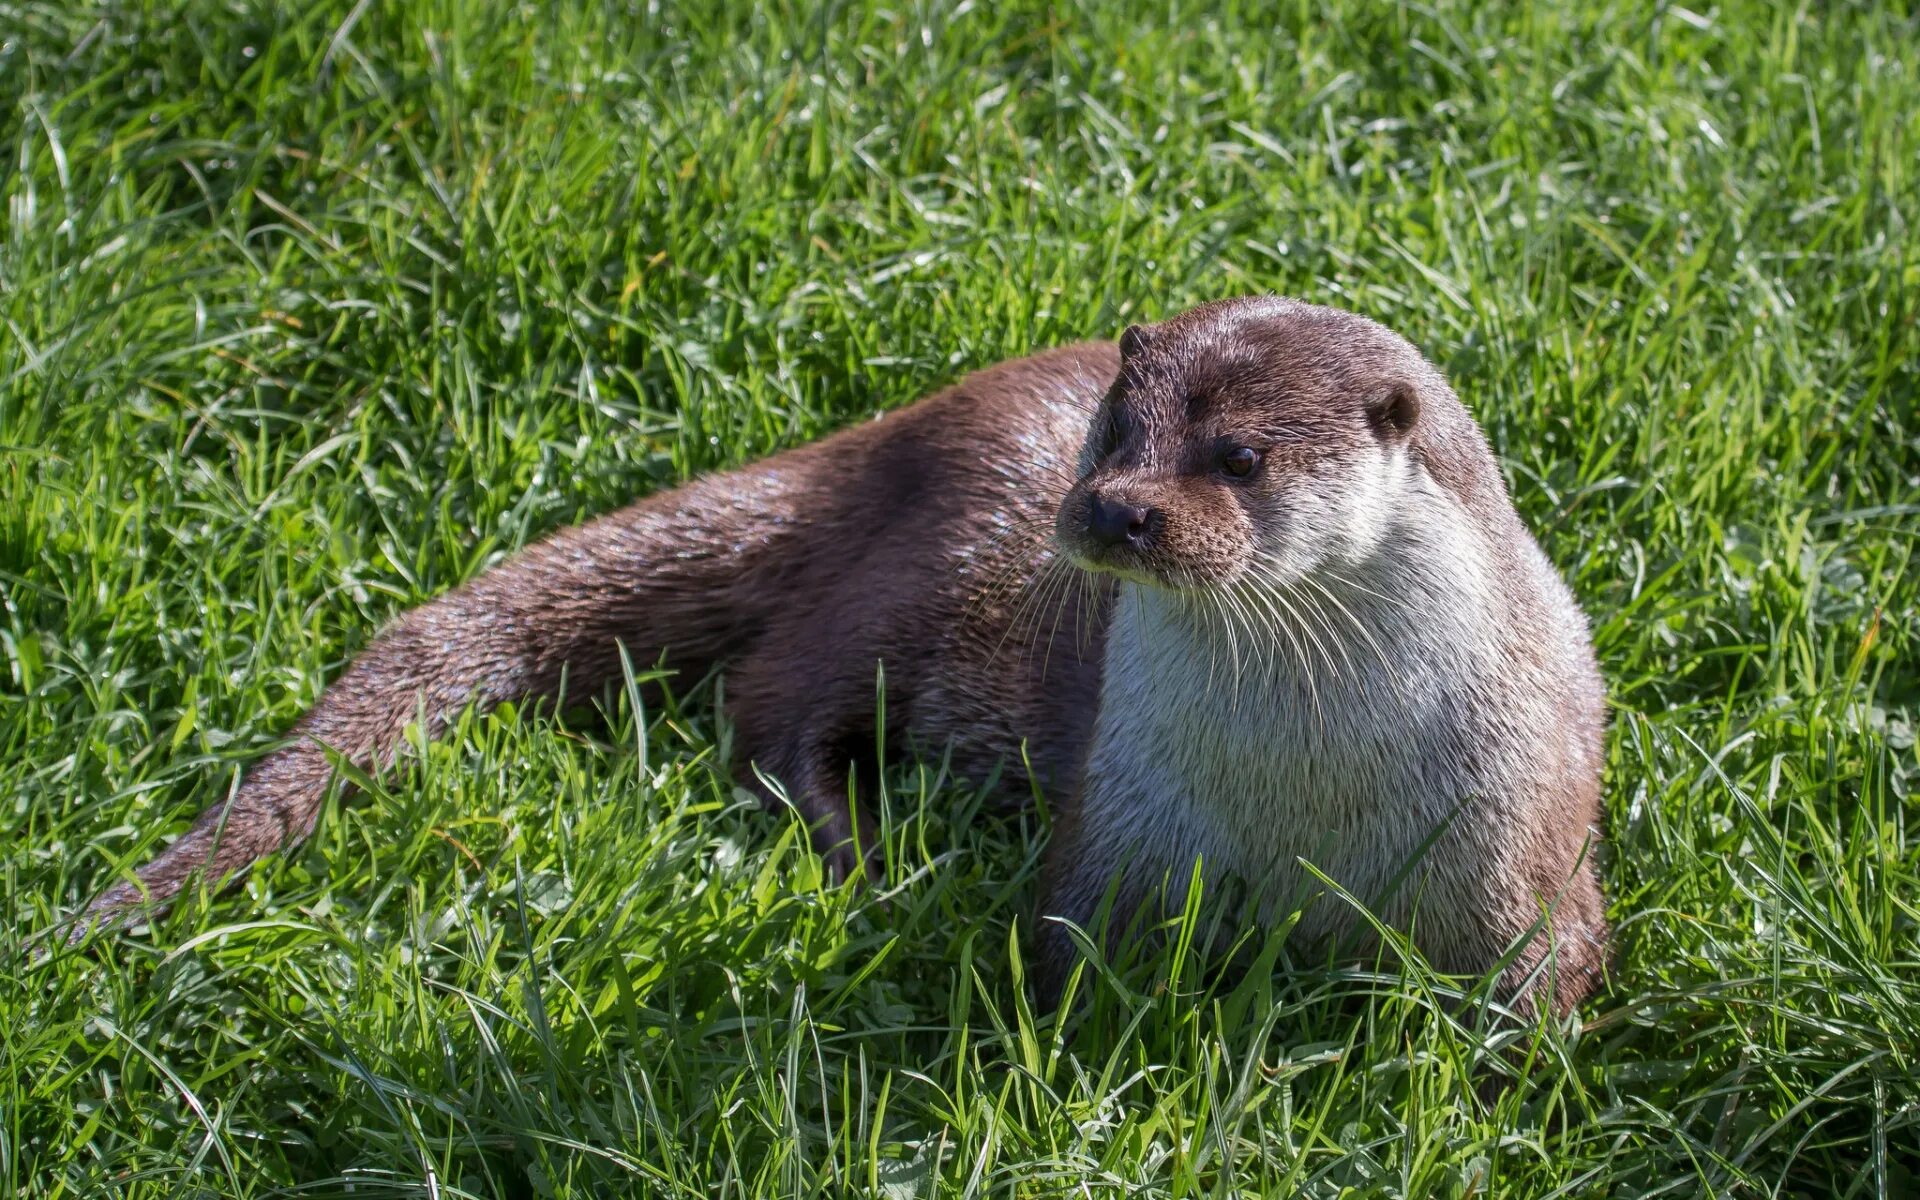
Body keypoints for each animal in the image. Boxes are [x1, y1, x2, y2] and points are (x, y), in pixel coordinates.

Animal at [71, 297, 1605, 1013]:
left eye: (1237, 458)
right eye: (1120, 429)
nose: (1114, 507)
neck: (1308, 805)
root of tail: (891, 434)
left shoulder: (1524, 854)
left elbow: (1545, 989)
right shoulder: (1122, 831)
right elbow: (1065, 953)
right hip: (918, 580)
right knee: (769, 709)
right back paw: (862, 850)